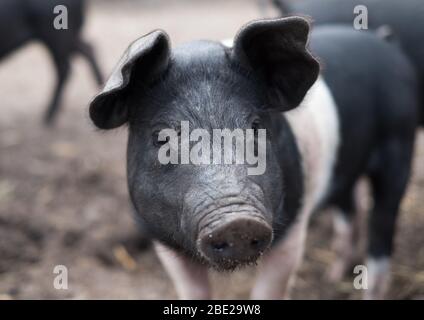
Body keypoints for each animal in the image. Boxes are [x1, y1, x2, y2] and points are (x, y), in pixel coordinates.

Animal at [88, 16, 418, 298]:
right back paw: (332, 277)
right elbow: (193, 290)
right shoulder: (163, 242)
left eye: (256, 126)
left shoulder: (292, 229)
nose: (237, 221)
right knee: (349, 211)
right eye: (163, 138)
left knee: (382, 229)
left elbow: (270, 287)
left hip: (401, 144)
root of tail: (385, 41)